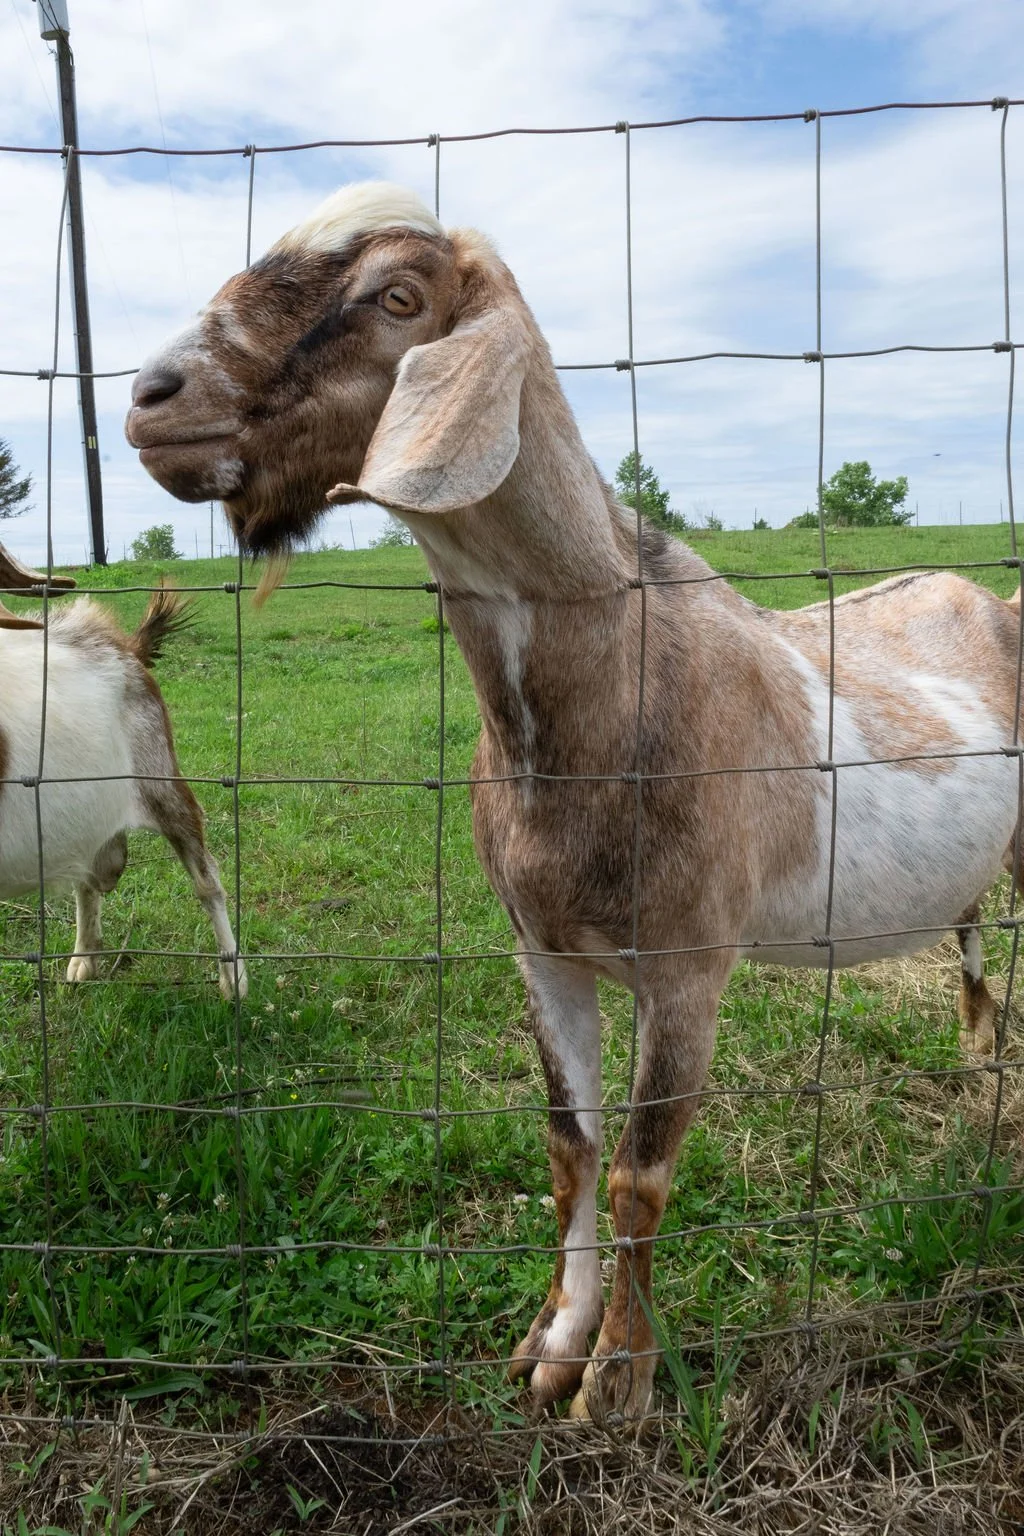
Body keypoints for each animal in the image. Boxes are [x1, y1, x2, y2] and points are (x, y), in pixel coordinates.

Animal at [0, 552, 246, 1001]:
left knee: (206, 877)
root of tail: (125, 646)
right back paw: (83, 960)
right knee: (87, 878)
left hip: (161, 779)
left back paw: (234, 978)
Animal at [125, 181, 1021, 1422]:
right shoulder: (542, 950)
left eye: (396, 296)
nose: (151, 402)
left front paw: (619, 1385)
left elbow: (643, 1172)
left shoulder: (689, 966)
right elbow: (569, 1147)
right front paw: (552, 1344)